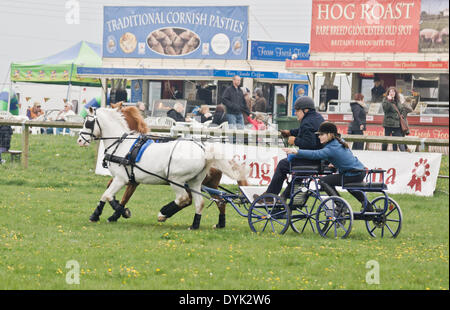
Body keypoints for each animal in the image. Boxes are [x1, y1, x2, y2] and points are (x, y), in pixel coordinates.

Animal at [78, 108, 244, 229]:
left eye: (88, 123)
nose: (80, 140)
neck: (123, 145)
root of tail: (204, 149)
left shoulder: (122, 179)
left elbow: (107, 195)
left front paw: (104, 214)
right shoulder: (129, 180)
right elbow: (110, 195)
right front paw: (112, 213)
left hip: (176, 180)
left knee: (184, 198)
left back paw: (163, 213)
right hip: (195, 182)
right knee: (206, 202)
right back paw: (197, 224)